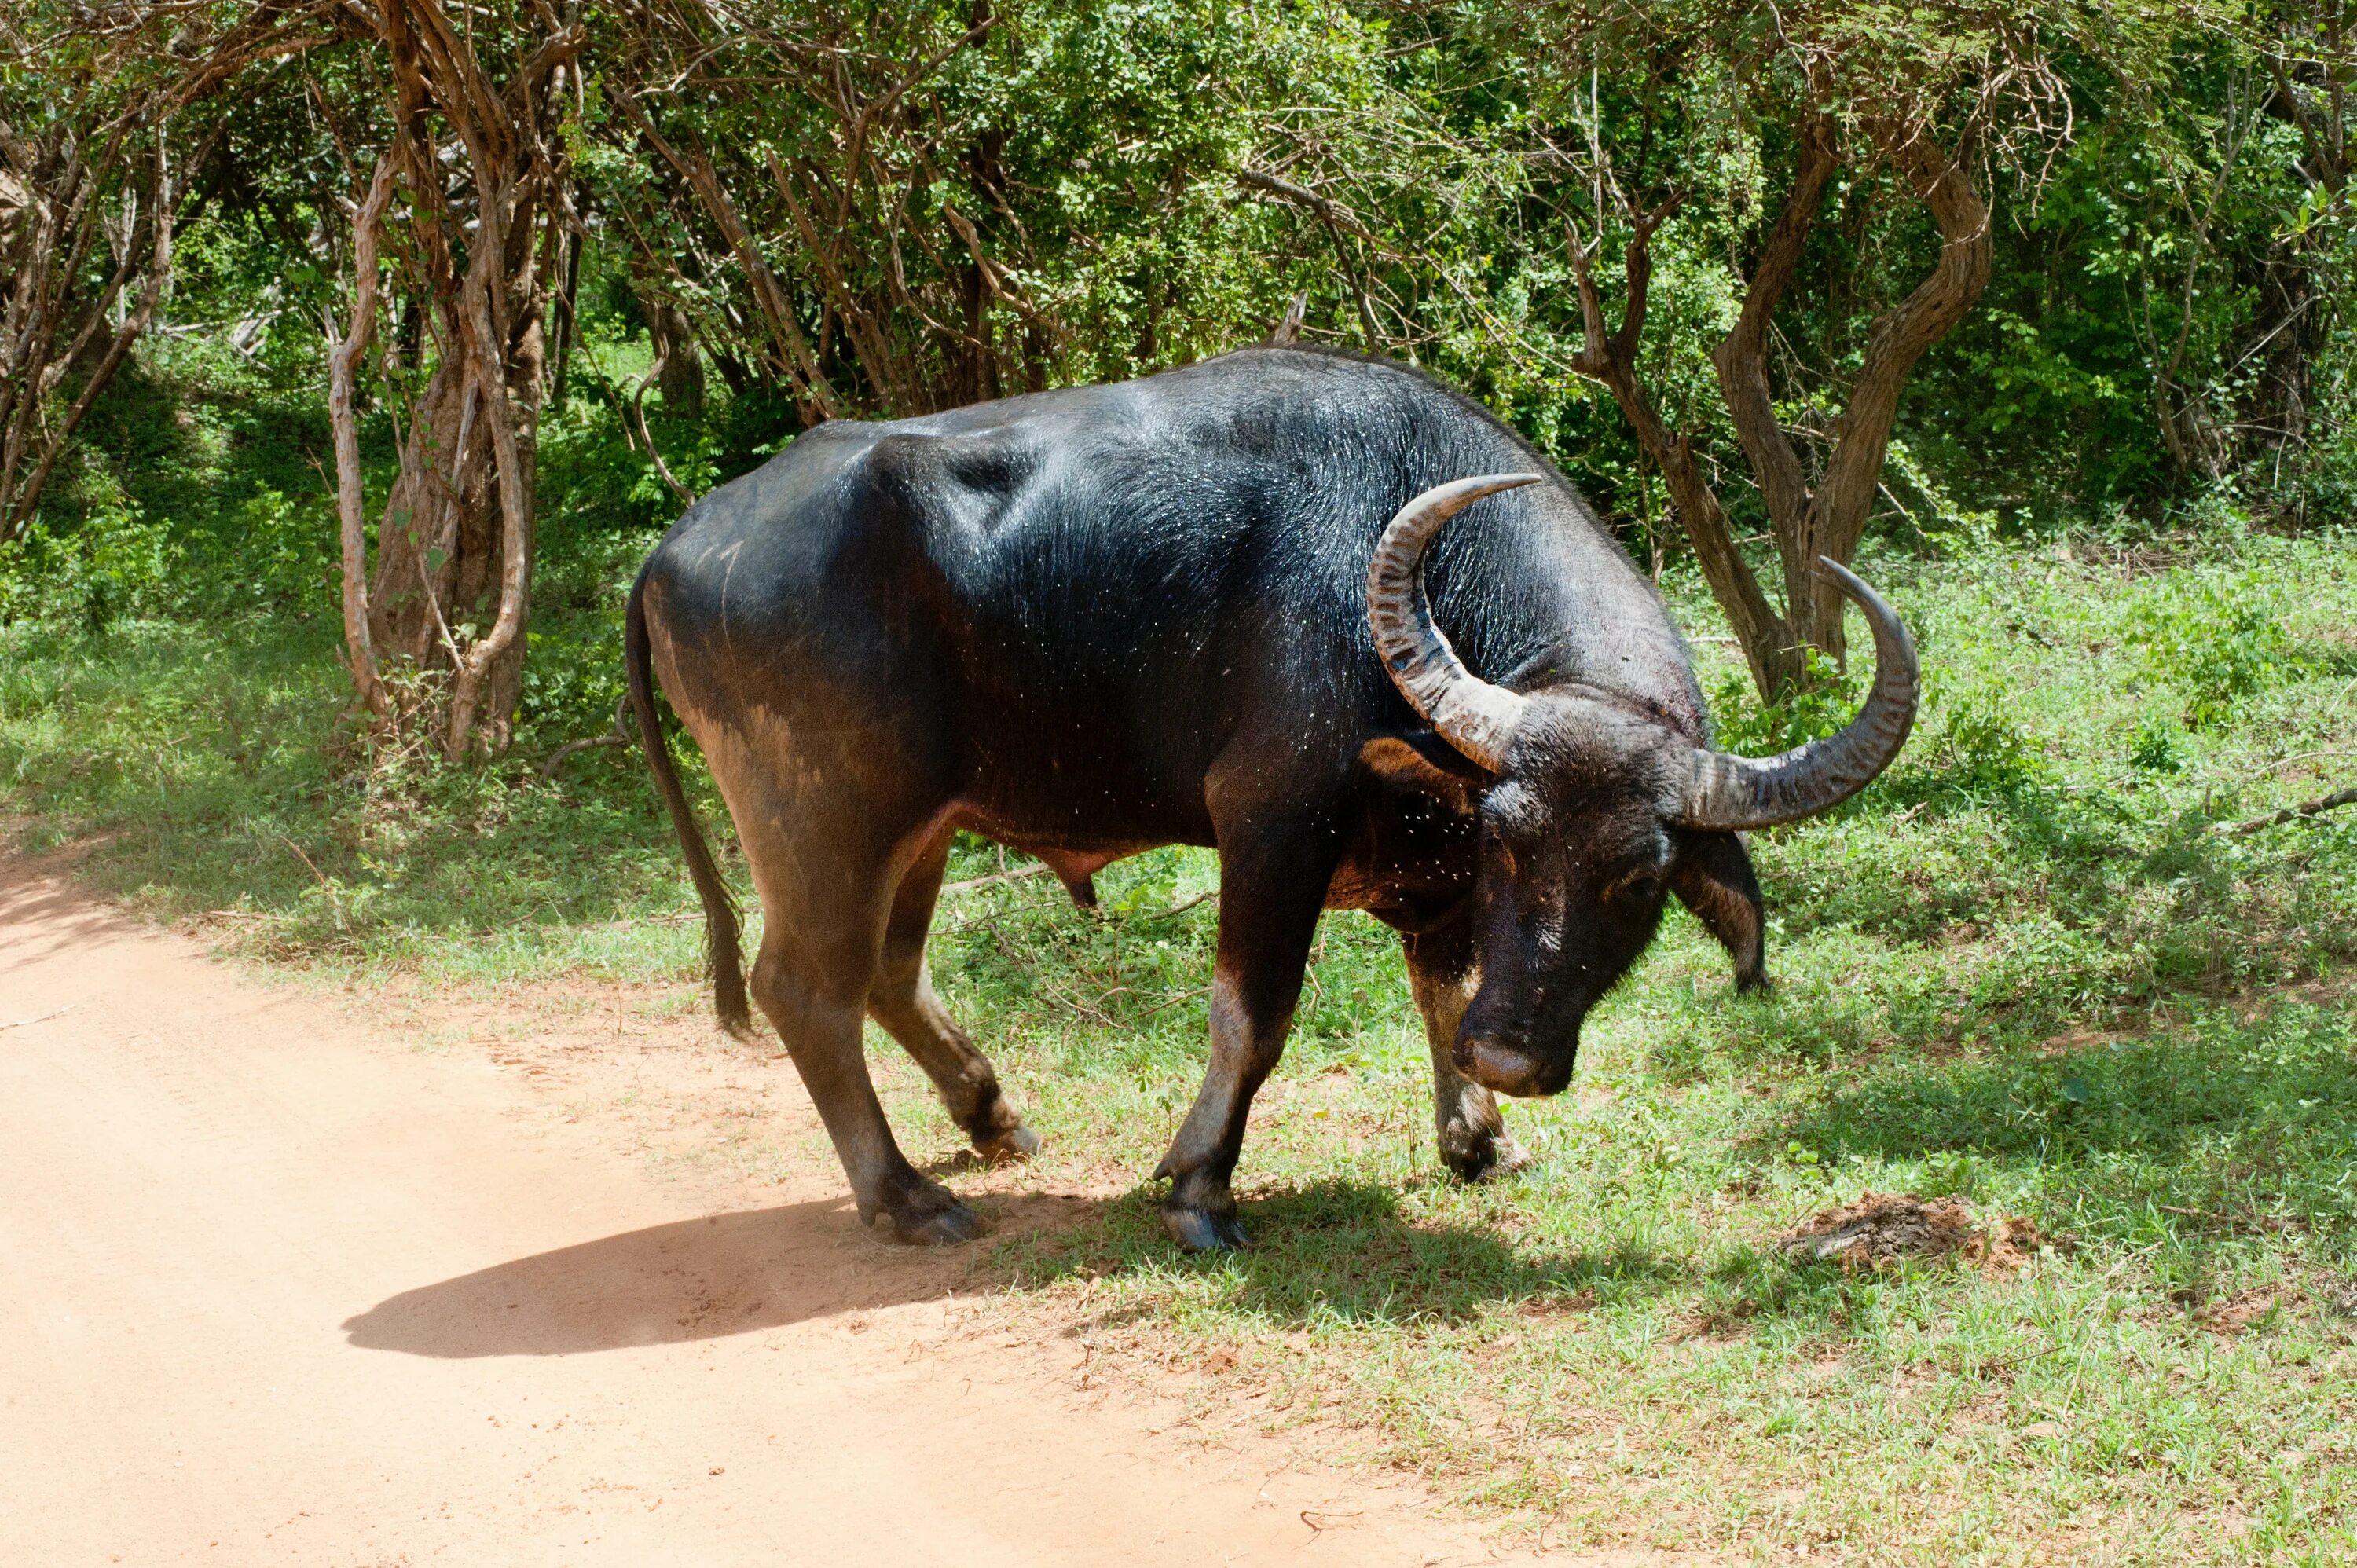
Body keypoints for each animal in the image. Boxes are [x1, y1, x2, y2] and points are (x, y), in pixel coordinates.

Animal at [627, 346, 1914, 1244]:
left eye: (1637, 877)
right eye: (1508, 837)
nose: (1513, 1058)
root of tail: (682, 543)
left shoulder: (1430, 870)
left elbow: (1441, 987)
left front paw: (1478, 1137)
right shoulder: (1273, 829)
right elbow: (1255, 1017)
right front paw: (1199, 1184)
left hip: (926, 827)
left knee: (890, 973)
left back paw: (991, 1118)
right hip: (827, 830)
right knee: (808, 991)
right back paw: (900, 1196)